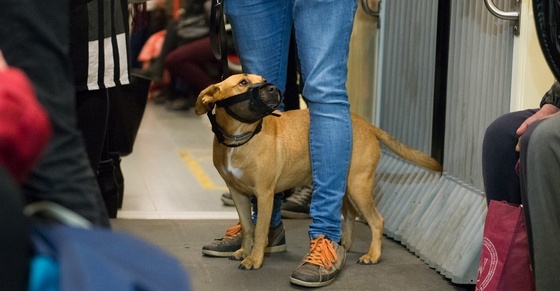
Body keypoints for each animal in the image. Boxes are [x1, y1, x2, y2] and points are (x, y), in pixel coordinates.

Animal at [196, 73, 442, 272]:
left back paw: (373, 255)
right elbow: (247, 227)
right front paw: (244, 251)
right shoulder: (238, 193)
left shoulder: (265, 195)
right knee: (350, 214)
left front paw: (254, 259)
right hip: (344, 185)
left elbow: (259, 230)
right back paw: (345, 244)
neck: (241, 138)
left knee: (377, 220)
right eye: (243, 82)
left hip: (358, 186)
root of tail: (367, 125)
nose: (274, 88)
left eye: (263, 79)